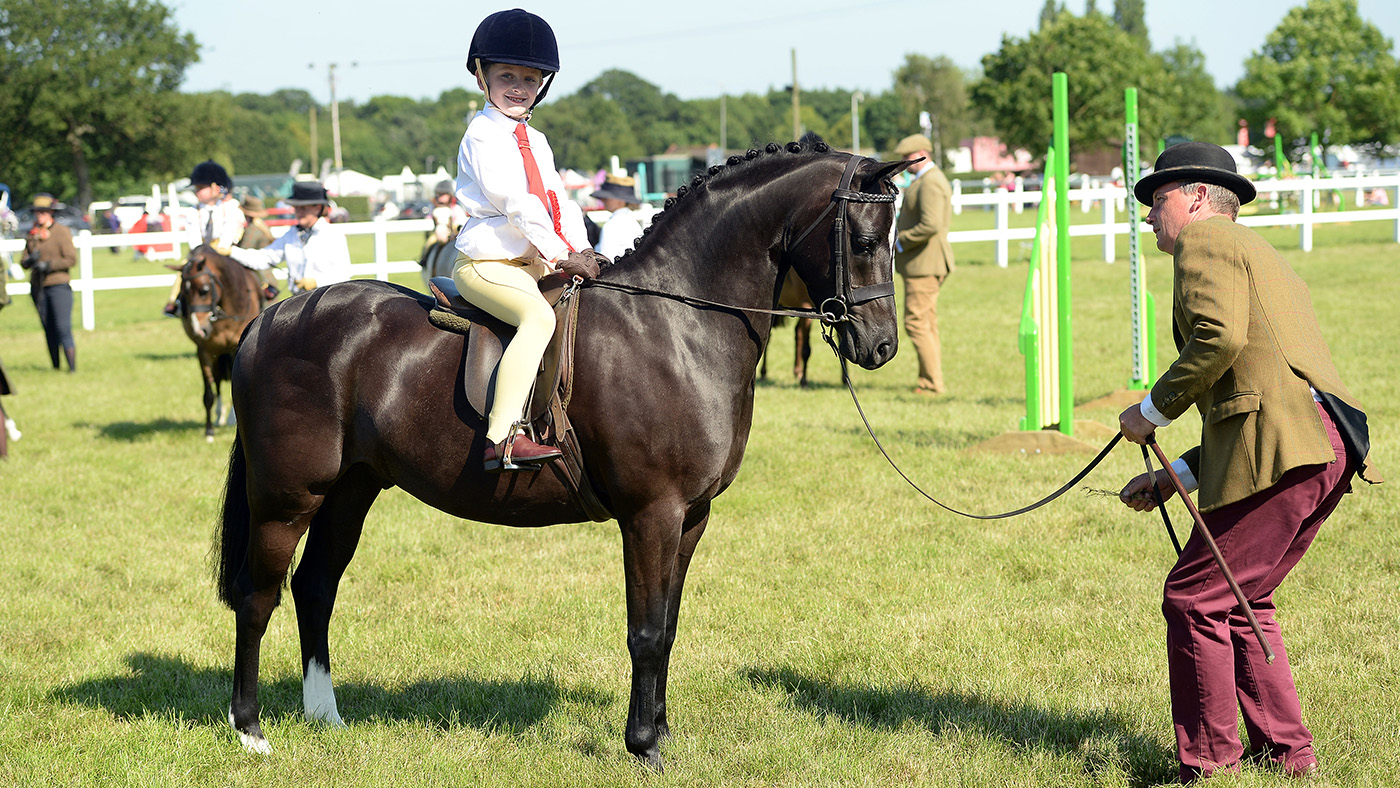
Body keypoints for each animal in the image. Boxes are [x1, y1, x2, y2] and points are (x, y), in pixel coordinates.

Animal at [167, 245, 263, 441]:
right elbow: (208, 393)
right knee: (217, 381)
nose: (199, 329)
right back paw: (219, 416)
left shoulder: (235, 349)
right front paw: (209, 431)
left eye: (204, 290)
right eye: (184, 292)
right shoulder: (203, 351)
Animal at [214, 140, 913, 768]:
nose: (881, 347)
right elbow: (646, 631)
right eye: (865, 241)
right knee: (258, 596)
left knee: (315, 586)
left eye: (894, 240)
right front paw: (644, 748)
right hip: (287, 498)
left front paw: (663, 737)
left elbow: (669, 626)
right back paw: (250, 731)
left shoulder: (691, 518)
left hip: (350, 490)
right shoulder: (652, 514)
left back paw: (325, 716)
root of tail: (273, 317)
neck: (676, 327)